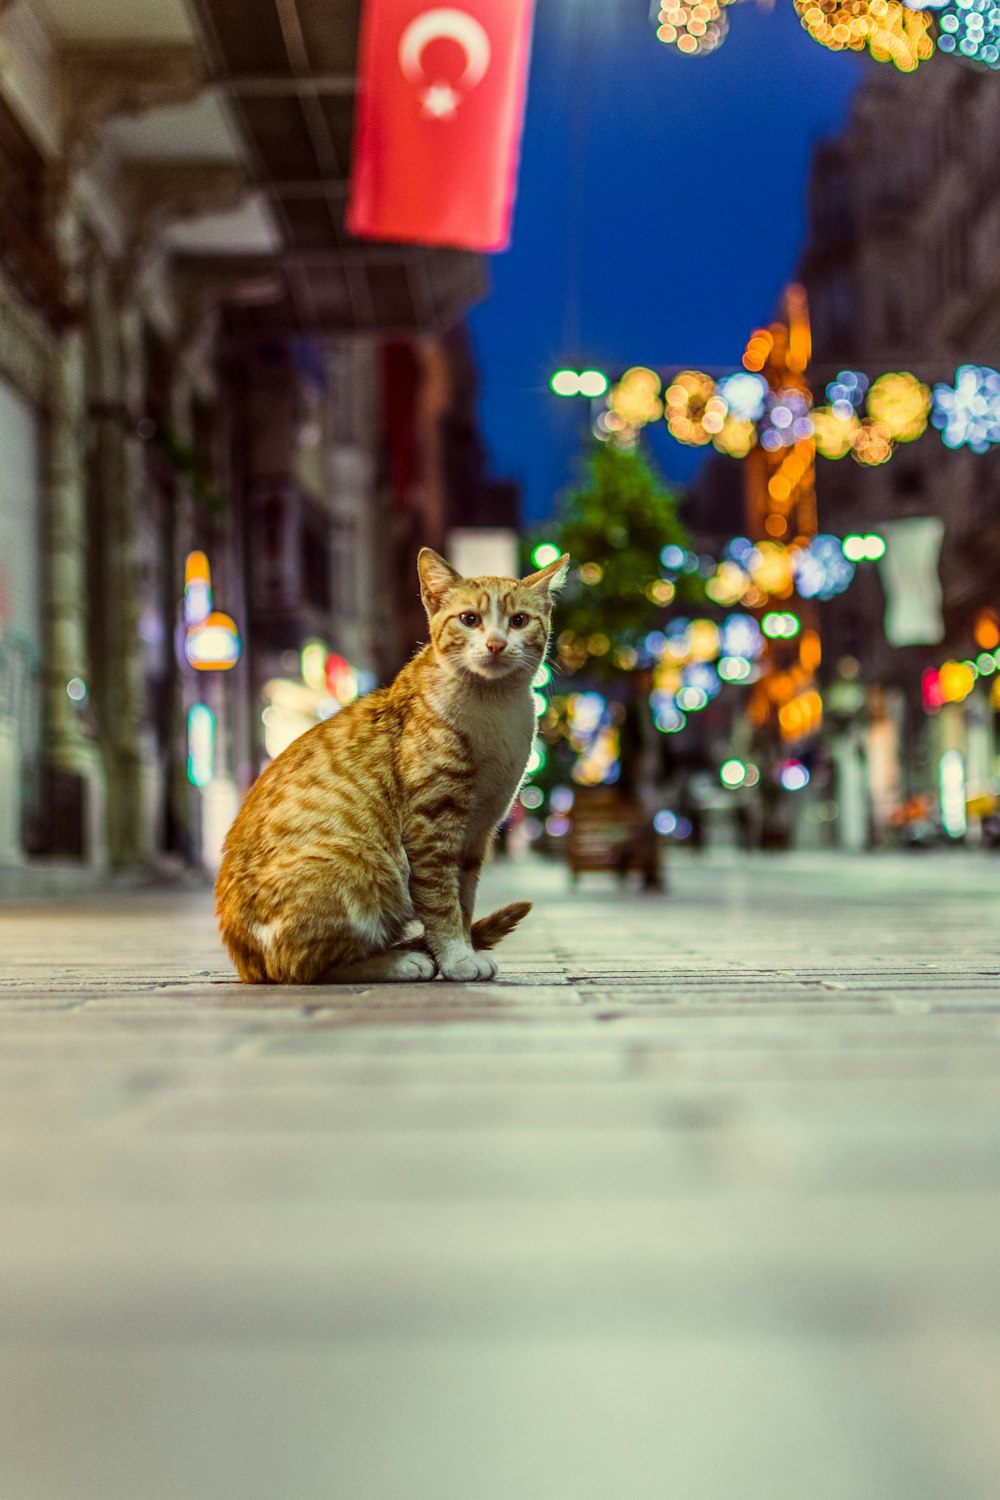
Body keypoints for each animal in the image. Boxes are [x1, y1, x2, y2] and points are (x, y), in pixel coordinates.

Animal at [214, 543, 566, 984]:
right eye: (470, 619)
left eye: (518, 621)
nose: (496, 644)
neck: (494, 707)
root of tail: (245, 961)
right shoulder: (430, 825)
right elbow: (441, 902)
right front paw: (456, 957)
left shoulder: (477, 833)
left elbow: (464, 900)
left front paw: (463, 949)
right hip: (362, 860)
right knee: (302, 966)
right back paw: (398, 961)